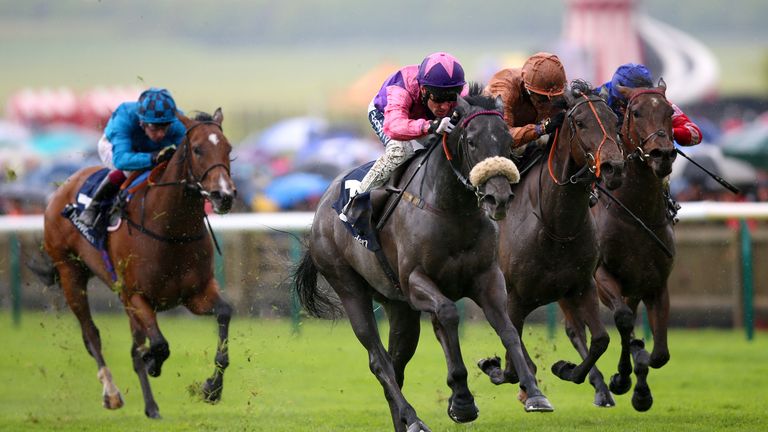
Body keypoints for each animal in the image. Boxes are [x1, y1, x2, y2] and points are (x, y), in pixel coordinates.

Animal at [33, 110, 237, 418]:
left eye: (228, 148)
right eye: (198, 149)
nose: (223, 195)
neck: (170, 230)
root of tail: (64, 186)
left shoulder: (196, 294)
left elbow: (224, 313)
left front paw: (212, 387)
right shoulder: (137, 296)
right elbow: (159, 345)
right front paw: (153, 361)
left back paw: (151, 405)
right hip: (71, 272)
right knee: (91, 334)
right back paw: (113, 393)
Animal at [292, 85, 552, 432]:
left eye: (508, 141)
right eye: (471, 141)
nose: (498, 197)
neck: (452, 211)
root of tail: (321, 206)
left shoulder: (487, 277)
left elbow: (507, 328)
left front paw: (534, 393)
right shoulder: (416, 281)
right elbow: (448, 314)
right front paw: (462, 400)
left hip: (398, 306)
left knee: (396, 363)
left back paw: (404, 421)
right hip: (348, 286)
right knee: (379, 360)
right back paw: (413, 418)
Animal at [476, 82, 628, 408]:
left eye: (614, 120)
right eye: (580, 122)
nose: (614, 167)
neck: (557, 226)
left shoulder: (583, 286)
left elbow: (600, 339)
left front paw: (566, 368)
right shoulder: (514, 297)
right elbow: (511, 360)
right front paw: (497, 368)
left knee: (577, 331)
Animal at [592, 82, 676, 412]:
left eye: (669, 112)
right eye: (636, 112)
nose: (662, 154)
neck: (635, 213)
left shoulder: (655, 284)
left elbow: (660, 354)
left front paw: (641, 388)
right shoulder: (601, 275)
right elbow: (624, 320)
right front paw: (622, 378)